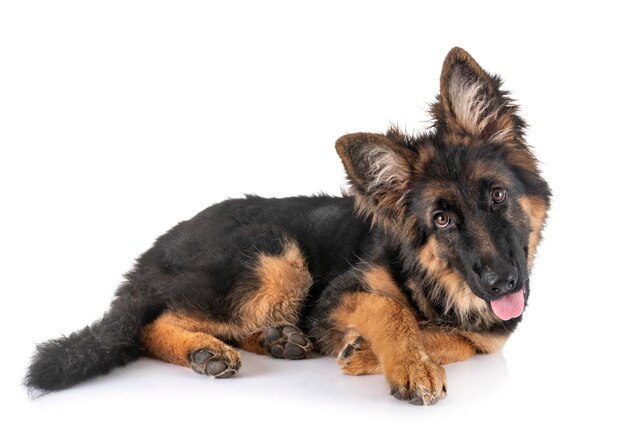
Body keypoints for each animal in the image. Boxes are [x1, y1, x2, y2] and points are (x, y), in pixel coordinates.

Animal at [26, 46, 548, 404]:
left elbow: (457, 340)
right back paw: (206, 351)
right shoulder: (335, 296)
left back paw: (280, 340)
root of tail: (153, 251)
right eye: (441, 220)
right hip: (278, 257)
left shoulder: (487, 338)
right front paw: (405, 363)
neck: (437, 283)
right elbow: (391, 309)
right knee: (151, 323)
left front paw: (370, 352)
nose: (503, 282)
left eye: (497, 195)